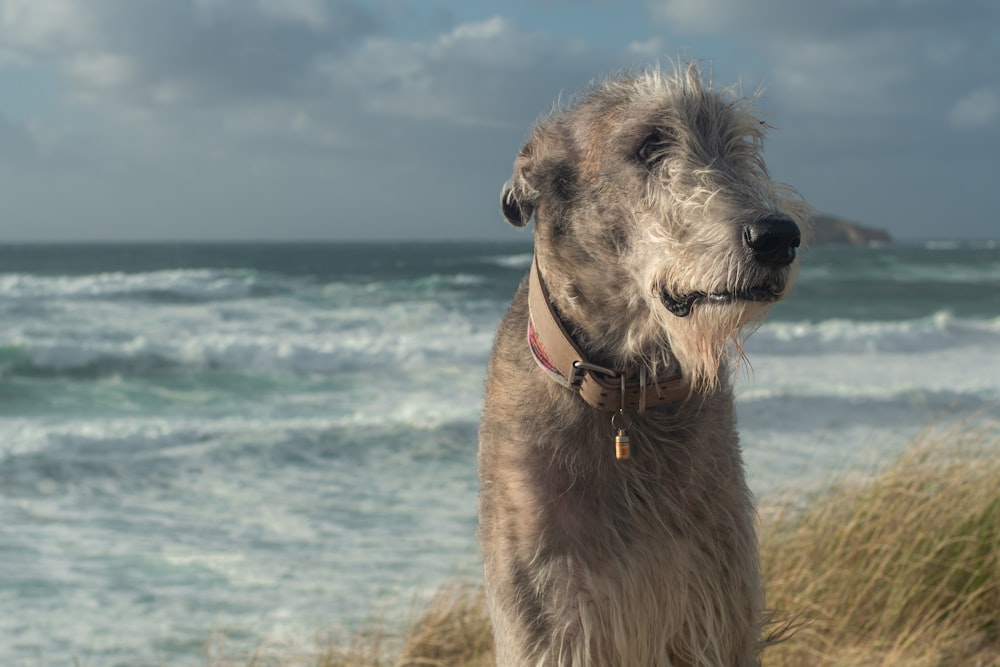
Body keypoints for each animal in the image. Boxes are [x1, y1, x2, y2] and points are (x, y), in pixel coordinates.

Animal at [476, 64, 812, 667]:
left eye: (739, 145)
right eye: (649, 146)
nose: (778, 236)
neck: (628, 400)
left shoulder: (715, 602)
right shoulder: (550, 618)